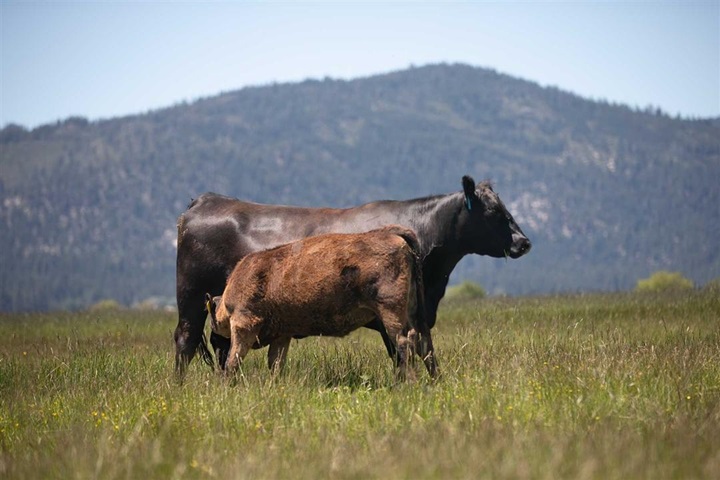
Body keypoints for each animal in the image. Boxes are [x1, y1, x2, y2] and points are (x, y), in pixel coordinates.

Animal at [205, 227, 436, 380]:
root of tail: (393, 234)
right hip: (411, 311)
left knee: (405, 342)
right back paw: (433, 380)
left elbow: (234, 359)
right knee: (424, 342)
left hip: (390, 312)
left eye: (214, 337)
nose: (215, 362)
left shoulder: (244, 325)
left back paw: (407, 382)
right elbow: (275, 363)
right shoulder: (282, 335)